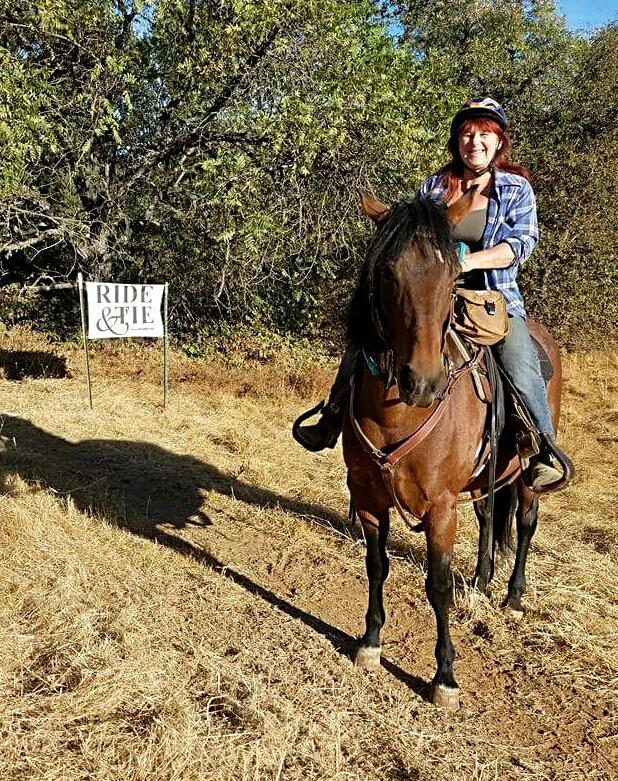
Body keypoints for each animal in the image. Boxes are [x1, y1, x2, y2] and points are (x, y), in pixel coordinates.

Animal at [341, 192, 565, 710]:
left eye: (451, 279)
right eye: (388, 272)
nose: (423, 382)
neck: (398, 413)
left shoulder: (441, 508)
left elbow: (438, 585)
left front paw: (444, 677)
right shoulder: (367, 496)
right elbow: (376, 566)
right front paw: (370, 643)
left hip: (527, 476)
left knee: (525, 524)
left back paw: (514, 596)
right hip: (486, 476)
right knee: (489, 517)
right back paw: (482, 581)